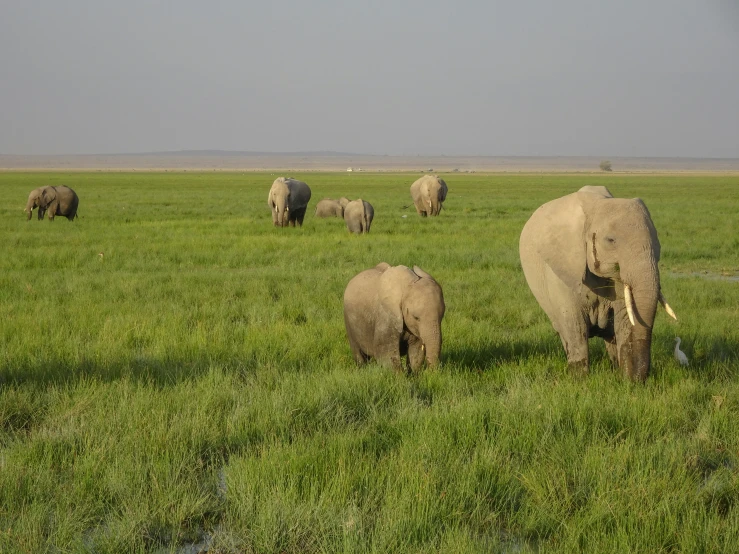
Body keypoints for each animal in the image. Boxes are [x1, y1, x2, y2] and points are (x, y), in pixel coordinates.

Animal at [516, 185, 680, 380]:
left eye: (656, 241)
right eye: (610, 240)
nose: (640, 379)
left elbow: (625, 320)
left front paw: (627, 380)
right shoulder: (561, 269)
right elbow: (575, 325)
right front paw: (579, 380)